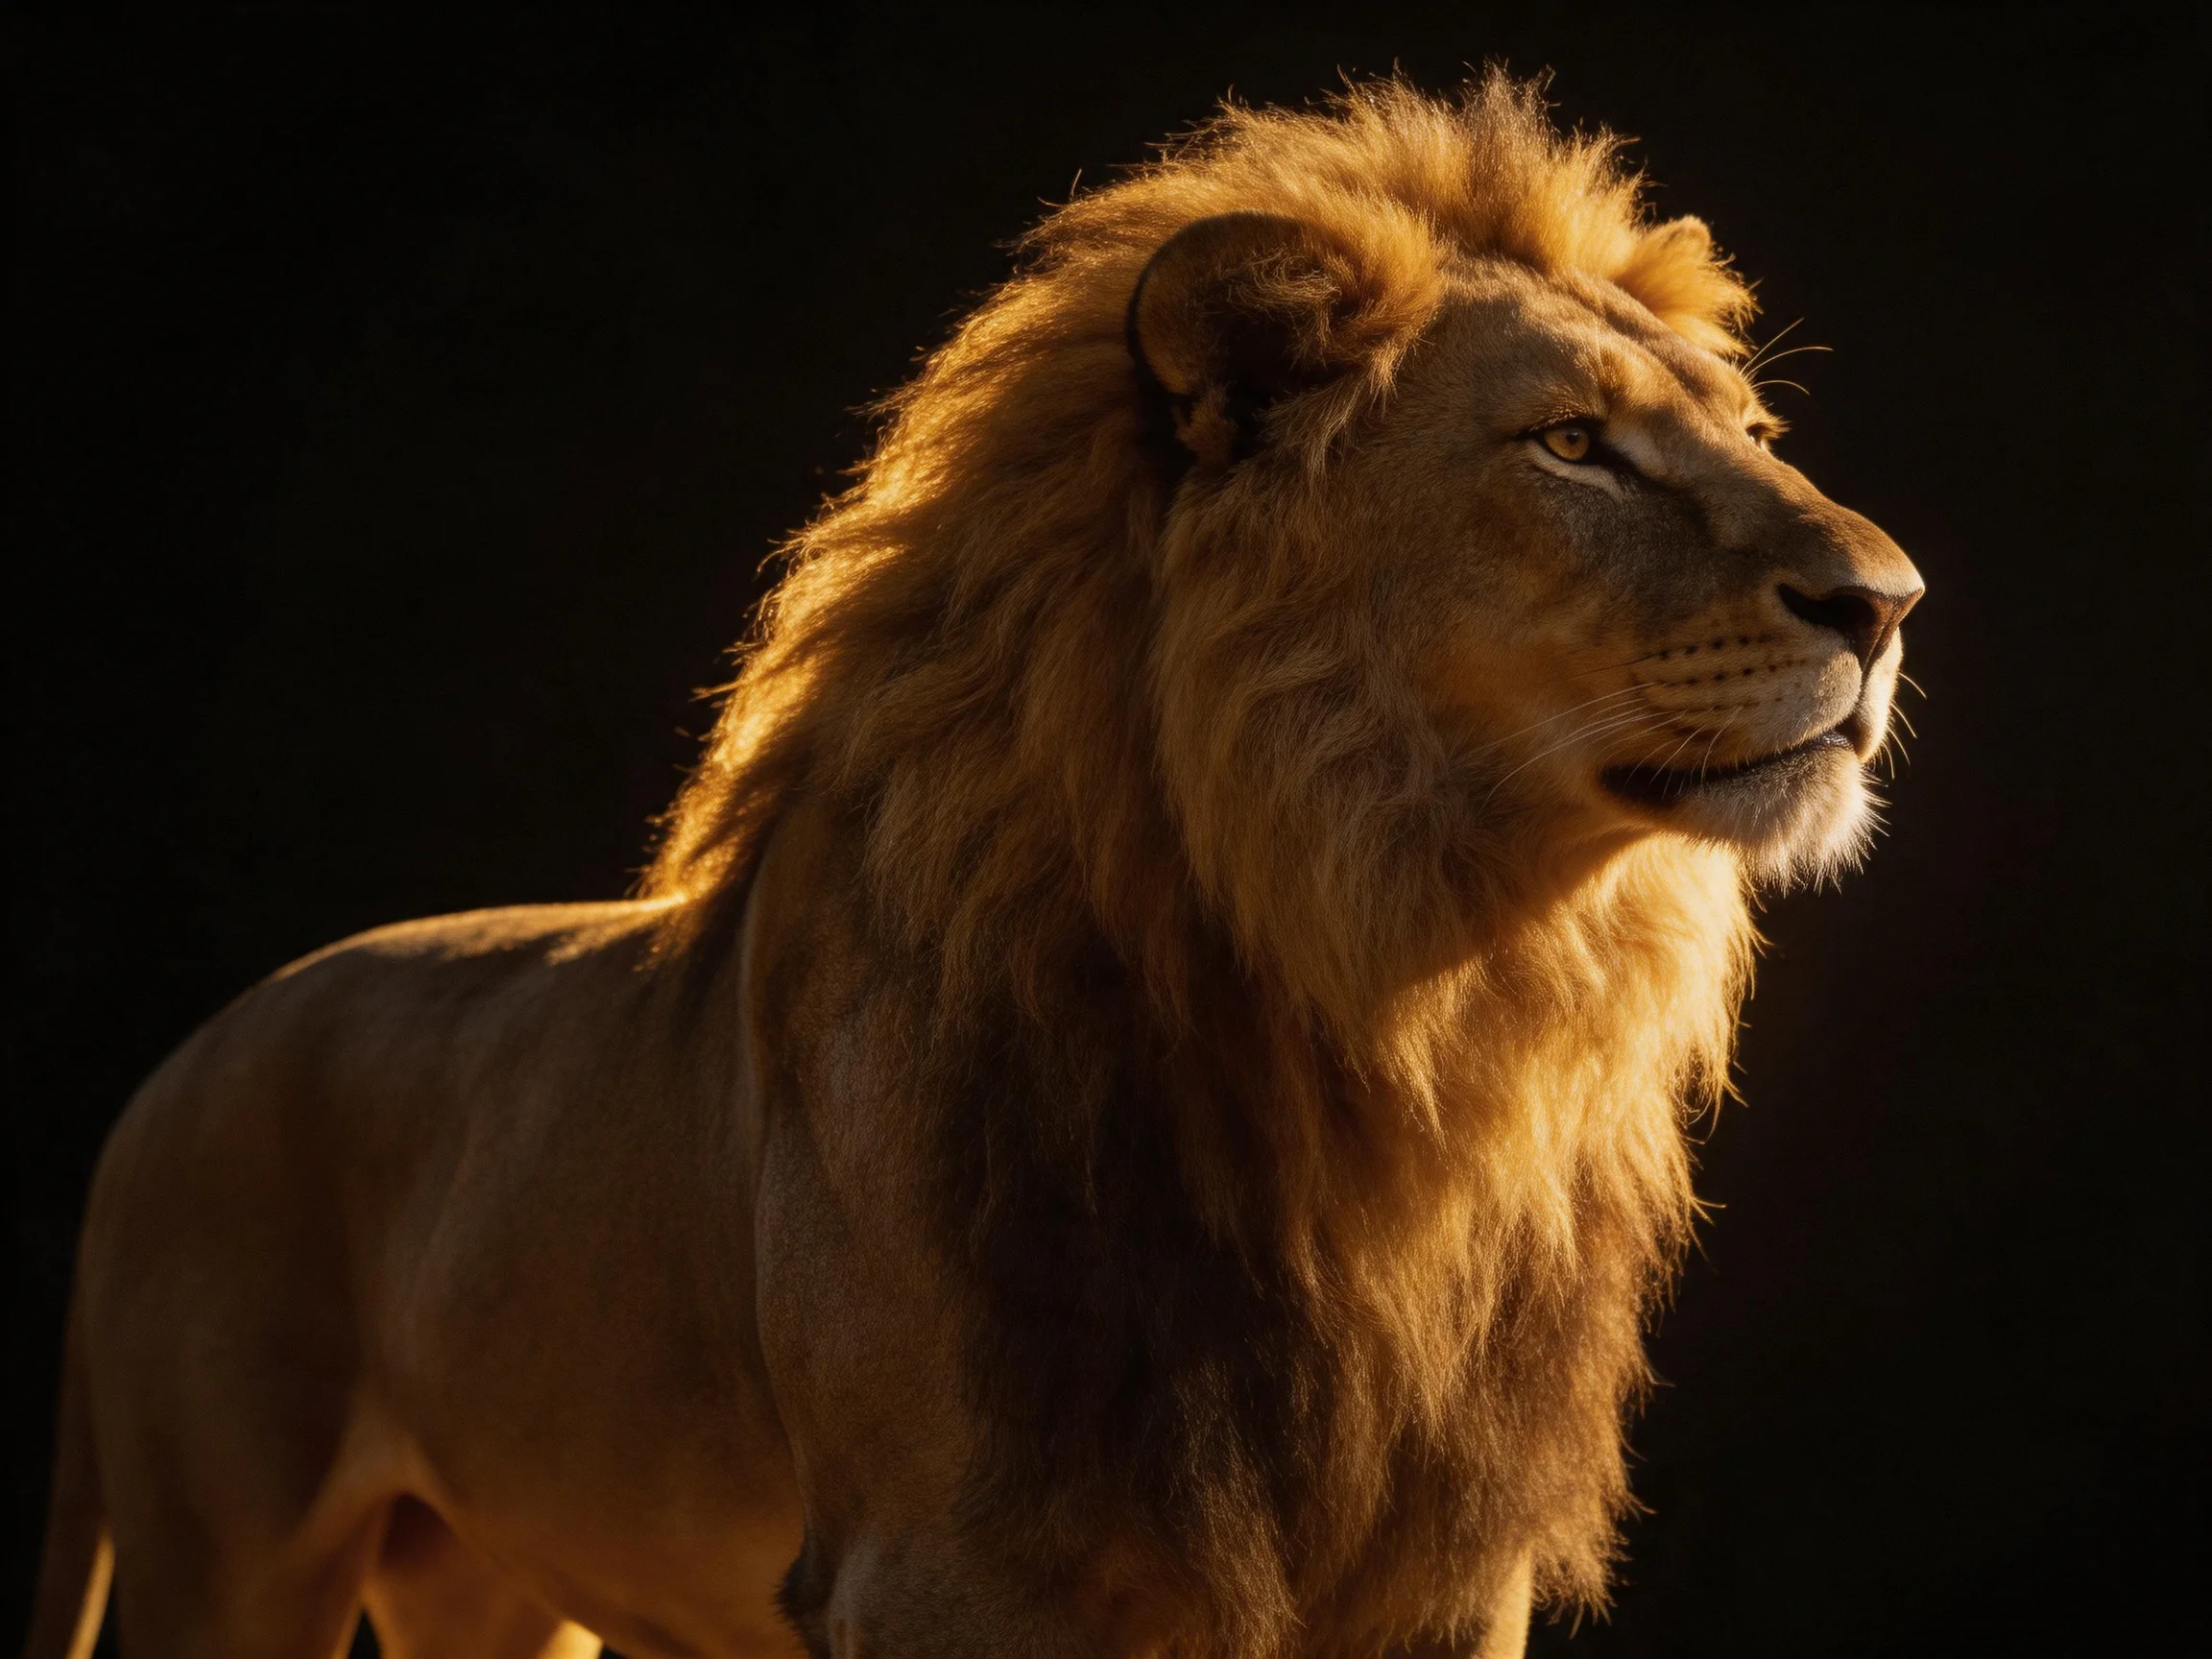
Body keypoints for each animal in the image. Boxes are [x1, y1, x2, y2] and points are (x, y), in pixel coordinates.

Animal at [27, 73, 1920, 1659]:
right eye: (1569, 444)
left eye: (1754, 433)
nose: (1887, 603)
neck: (1403, 990)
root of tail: (186, 1065)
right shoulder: (942, 1568)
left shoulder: (1442, 1581)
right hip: (229, 1559)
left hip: (491, 1586)